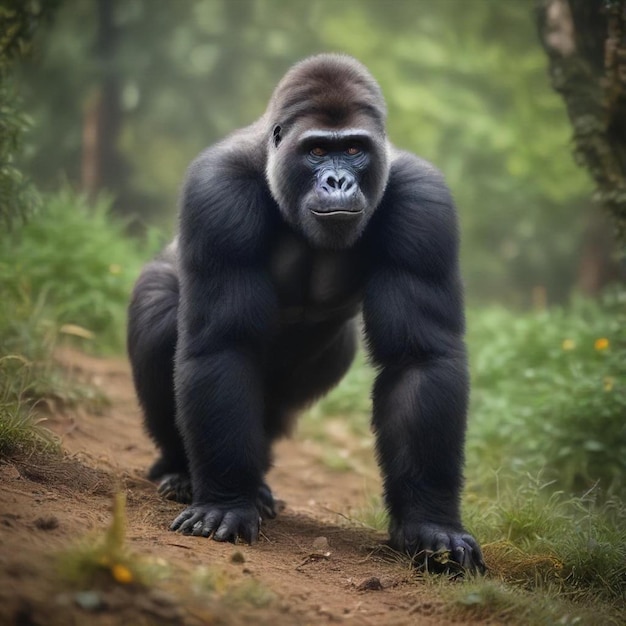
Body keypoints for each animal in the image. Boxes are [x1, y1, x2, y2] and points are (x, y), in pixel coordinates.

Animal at [127, 53, 486, 572]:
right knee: (160, 318)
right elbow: (225, 343)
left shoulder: (424, 202)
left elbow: (418, 359)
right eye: (316, 151)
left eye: (354, 148)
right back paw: (182, 472)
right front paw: (226, 501)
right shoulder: (216, 191)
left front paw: (430, 523)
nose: (338, 181)